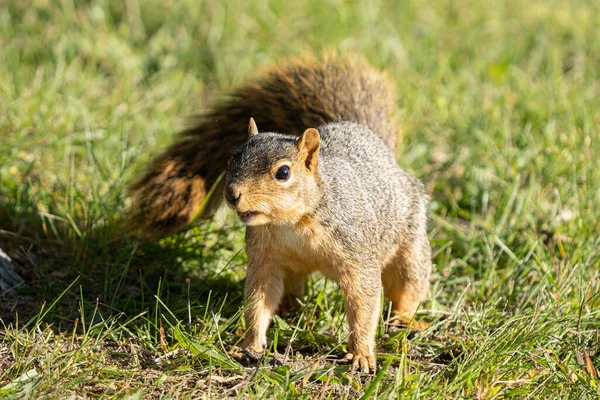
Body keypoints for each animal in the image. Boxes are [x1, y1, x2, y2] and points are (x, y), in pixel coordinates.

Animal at [130, 52, 432, 372]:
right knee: (291, 290)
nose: (232, 194)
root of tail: (373, 141)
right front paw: (250, 345)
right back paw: (289, 310)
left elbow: (363, 304)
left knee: (407, 287)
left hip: (410, 248)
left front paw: (361, 354)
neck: (294, 223)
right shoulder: (265, 259)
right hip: (292, 267)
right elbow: (258, 301)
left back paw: (407, 321)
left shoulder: (357, 254)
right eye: (232, 157)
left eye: (283, 172)